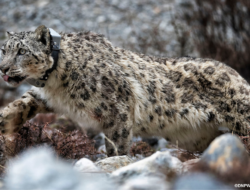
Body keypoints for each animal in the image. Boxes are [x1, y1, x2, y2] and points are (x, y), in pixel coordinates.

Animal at [0, 25, 250, 156]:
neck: (54, 84)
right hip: (196, 138)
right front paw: (3, 121)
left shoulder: (116, 109)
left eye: (22, 51)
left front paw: (113, 161)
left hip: (241, 115)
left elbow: (115, 143)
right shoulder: (41, 96)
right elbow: (21, 104)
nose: (3, 68)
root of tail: (236, 74)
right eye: (4, 49)